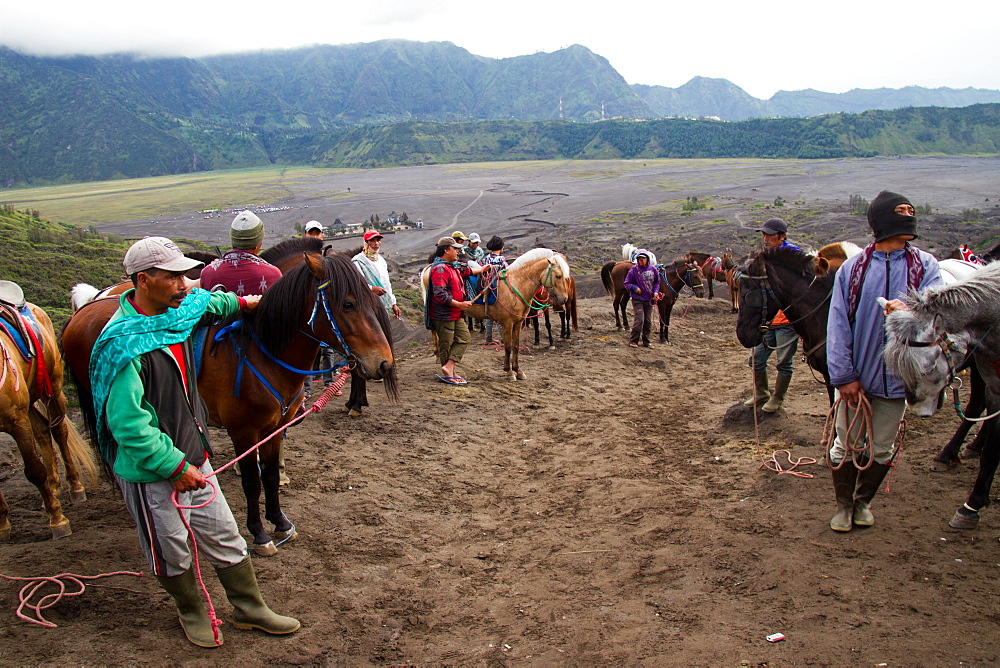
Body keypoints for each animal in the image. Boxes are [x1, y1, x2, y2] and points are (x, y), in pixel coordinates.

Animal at [0, 290, 96, 540]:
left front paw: (58, 521)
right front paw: (3, 525)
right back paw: (52, 488)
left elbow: (34, 470)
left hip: (51, 387)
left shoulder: (17, 419)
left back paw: (74, 487)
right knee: (43, 431)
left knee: (58, 431)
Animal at [59, 250, 398, 552]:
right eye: (348, 304)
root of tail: (83, 311)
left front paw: (280, 522)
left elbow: (270, 475)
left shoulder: (275, 427)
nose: (383, 363)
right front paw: (259, 533)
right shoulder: (243, 432)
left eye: (373, 301)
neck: (262, 354)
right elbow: (252, 481)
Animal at [884, 260, 1000, 528]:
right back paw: (957, 451)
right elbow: (992, 452)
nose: (916, 409)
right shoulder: (995, 387)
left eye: (927, 366)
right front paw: (972, 505)